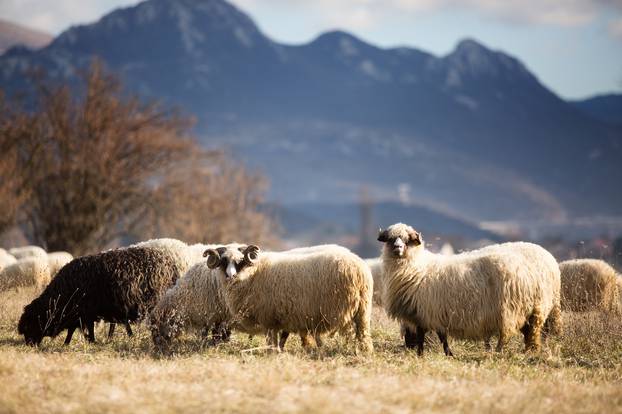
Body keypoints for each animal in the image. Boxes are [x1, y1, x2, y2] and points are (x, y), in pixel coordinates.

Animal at [16, 246, 180, 346]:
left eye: (30, 325)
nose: (30, 345)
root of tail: (171, 264)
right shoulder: (81, 314)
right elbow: (75, 330)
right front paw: (68, 343)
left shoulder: (85, 312)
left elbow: (85, 329)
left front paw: (90, 341)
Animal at [206, 244, 376, 354]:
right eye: (223, 261)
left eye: (239, 261)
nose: (230, 275)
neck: (252, 274)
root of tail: (360, 270)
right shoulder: (281, 317)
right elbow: (281, 338)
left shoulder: (268, 317)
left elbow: (272, 339)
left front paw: (271, 353)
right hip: (363, 310)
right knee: (363, 334)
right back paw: (365, 352)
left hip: (345, 310)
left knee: (350, 334)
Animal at [378, 223, 564, 356]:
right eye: (391, 239)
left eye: (407, 240)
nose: (397, 248)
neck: (417, 267)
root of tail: (551, 261)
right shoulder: (433, 313)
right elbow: (439, 336)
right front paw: (447, 354)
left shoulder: (426, 311)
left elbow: (427, 335)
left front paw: (423, 354)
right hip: (530, 309)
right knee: (529, 333)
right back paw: (527, 351)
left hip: (516, 309)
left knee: (516, 334)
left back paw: (502, 352)